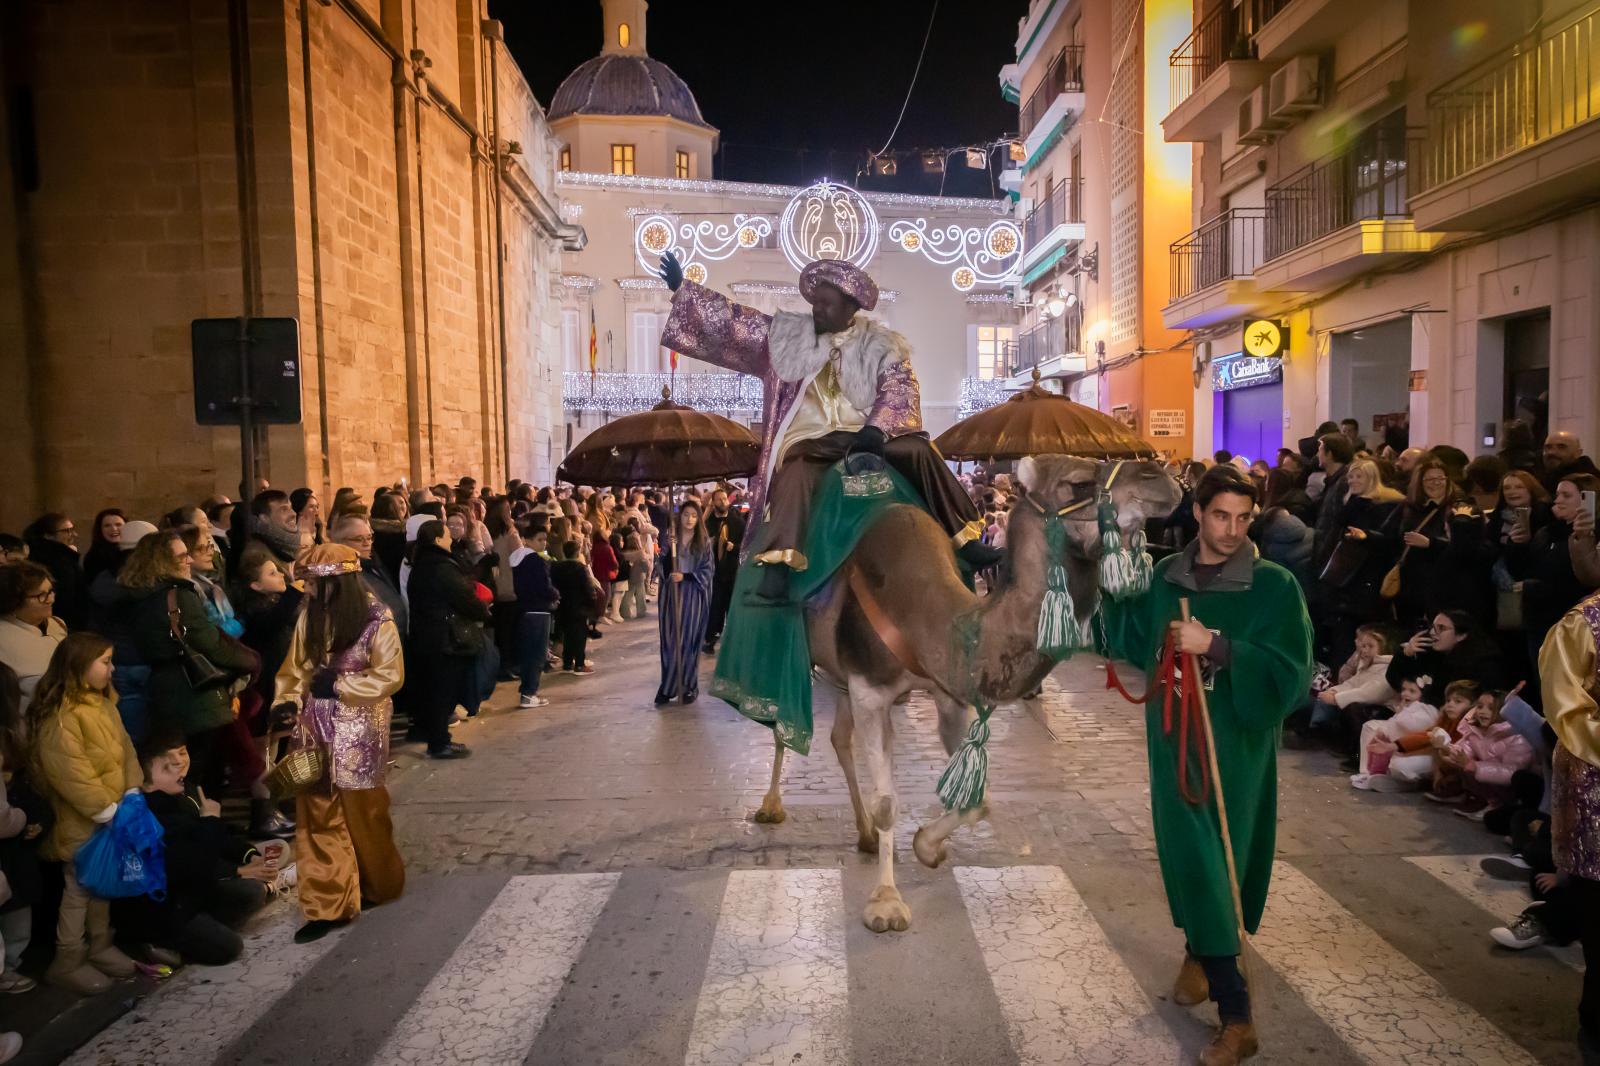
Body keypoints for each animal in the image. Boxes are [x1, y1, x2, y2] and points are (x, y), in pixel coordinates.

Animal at [745, 454, 1177, 928]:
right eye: (1077, 482)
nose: (1162, 479)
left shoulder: (946, 691)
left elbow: (978, 797)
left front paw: (927, 847)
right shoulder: (870, 688)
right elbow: (887, 802)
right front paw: (886, 902)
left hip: (841, 673)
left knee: (839, 738)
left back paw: (864, 834)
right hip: (794, 655)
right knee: (782, 727)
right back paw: (771, 806)